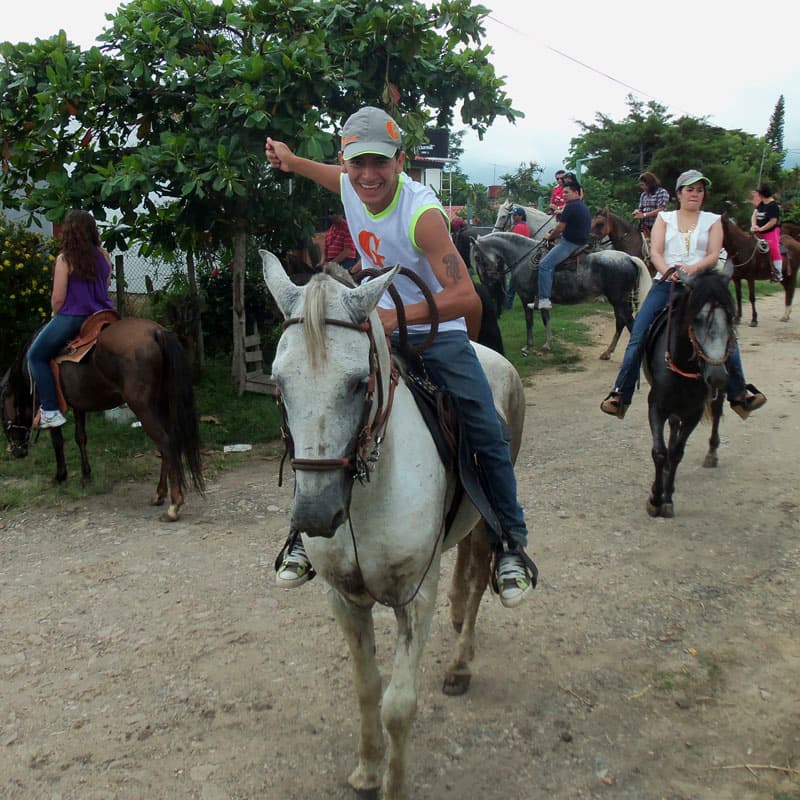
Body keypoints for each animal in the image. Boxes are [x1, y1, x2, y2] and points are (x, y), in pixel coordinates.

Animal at [1, 317, 204, 521]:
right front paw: (86, 475)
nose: (17, 451)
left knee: (165, 442)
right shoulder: (79, 404)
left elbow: (57, 441)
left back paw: (173, 506)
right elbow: (80, 437)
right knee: (168, 444)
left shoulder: (51, 403)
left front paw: (60, 476)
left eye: (2, 413)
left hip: (142, 407)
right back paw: (159, 495)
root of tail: (157, 332)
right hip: (161, 404)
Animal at [260, 250, 525, 800]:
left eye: (359, 382)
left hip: (490, 519)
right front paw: (365, 771)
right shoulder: (344, 599)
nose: (316, 514)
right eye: (279, 384)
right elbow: (367, 688)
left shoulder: (413, 599)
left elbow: (399, 707)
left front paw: (393, 784)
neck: (367, 497)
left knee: (480, 583)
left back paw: (461, 664)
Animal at [471, 232, 651, 358]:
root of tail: (629, 258)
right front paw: (547, 345)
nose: (486, 281)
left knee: (628, 322)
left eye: (477, 257)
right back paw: (607, 352)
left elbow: (529, 322)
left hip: (618, 300)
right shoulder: (542, 299)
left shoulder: (526, 298)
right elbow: (546, 319)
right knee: (621, 322)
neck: (523, 257)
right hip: (620, 301)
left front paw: (528, 347)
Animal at [642, 271, 736, 518]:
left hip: (718, 394)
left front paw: (666, 499)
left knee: (716, 413)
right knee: (674, 424)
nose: (716, 375)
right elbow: (660, 452)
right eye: (697, 319)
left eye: (731, 317)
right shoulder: (656, 406)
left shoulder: (694, 412)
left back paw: (712, 454)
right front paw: (655, 498)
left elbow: (677, 453)